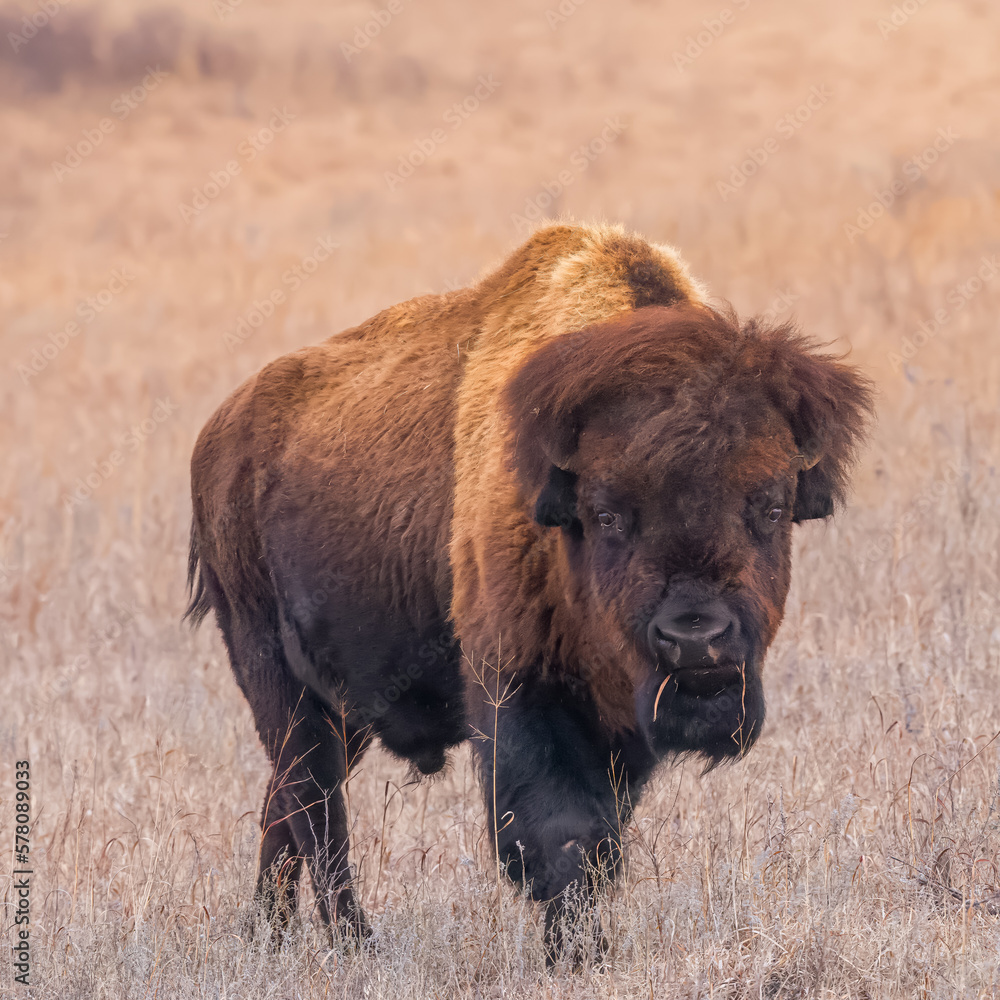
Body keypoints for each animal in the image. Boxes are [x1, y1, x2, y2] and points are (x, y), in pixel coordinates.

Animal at [186, 223, 873, 960]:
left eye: (771, 505)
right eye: (606, 513)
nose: (696, 639)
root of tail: (219, 435)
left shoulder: (619, 728)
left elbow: (602, 837)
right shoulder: (517, 689)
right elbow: (562, 832)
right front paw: (576, 954)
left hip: (343, 707)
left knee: (285, 806)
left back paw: (268, 934)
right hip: (273, 673)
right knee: (315, 805)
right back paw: (354, 941)